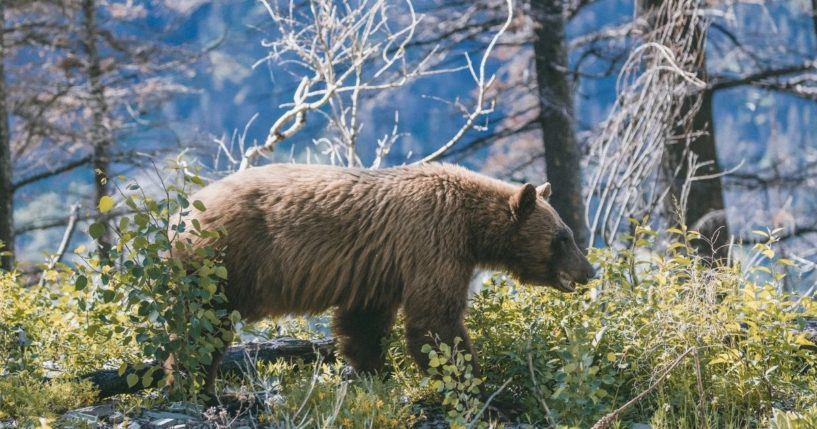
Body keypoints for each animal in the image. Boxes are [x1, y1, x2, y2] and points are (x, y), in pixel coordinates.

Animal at [180, 162, 592, 392]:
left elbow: (363, 324)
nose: (589, 270)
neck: (473, 227)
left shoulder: (377, 268)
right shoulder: (432, 240)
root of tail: (185, 210)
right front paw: (474, 382)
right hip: (223, 259)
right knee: (202, 324)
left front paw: (376, 374)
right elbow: (435, 320)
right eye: (563, 238)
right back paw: (197, 385)